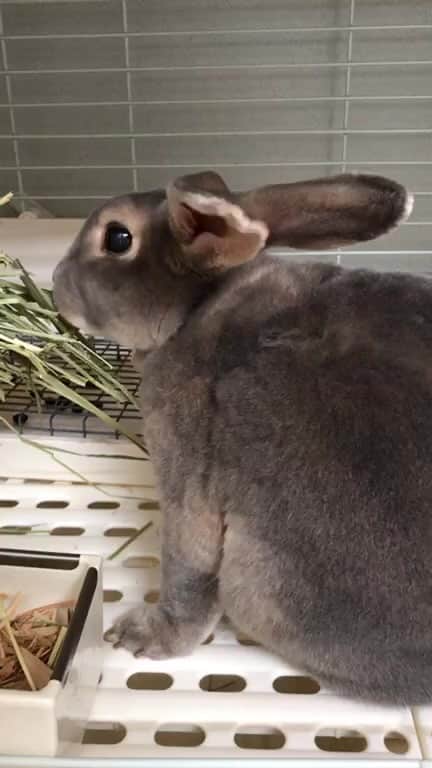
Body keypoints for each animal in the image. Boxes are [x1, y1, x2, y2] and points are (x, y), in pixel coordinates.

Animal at [53, 170, 432, 705]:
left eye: (118, 238)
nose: (56, 282)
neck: (194, 308)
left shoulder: (186, 471)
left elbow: (187, 569)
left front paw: (145, 636)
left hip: (255, 585)